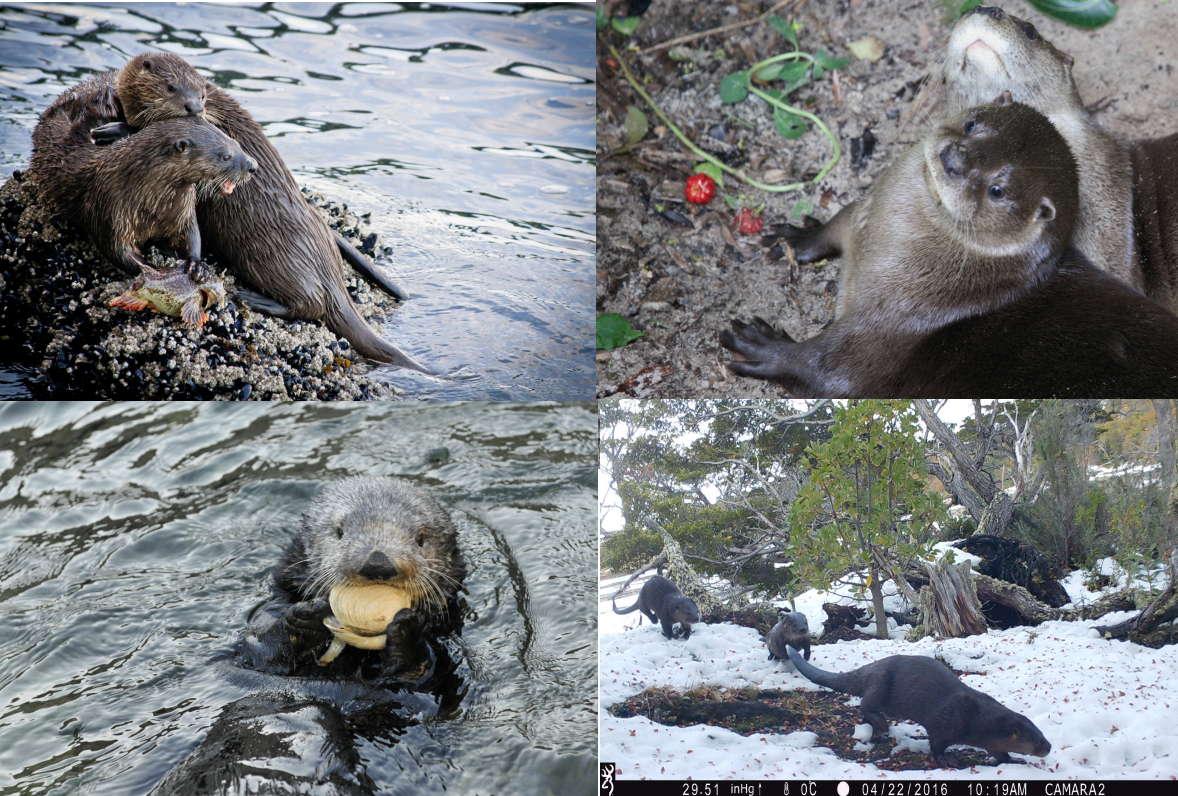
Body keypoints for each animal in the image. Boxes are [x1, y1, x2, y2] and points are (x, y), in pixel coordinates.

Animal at [236, 475, 466, 682]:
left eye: (420, 538)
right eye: (340, 531)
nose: (377, 563)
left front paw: (406, 633)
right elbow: (259, 640)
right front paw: (305, 622)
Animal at [786, 645, 1055, 763]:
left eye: (1042, 734)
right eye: (1035, 740)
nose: (1049, 747)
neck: (977, 719)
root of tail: (871, 667)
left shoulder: (990, 740)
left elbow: (1000, 752)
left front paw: (1014, 760)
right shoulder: (945, 723)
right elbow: (936, 745)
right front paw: (946, 760)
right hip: (881, 681)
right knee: (865, 704)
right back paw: (882, 725)